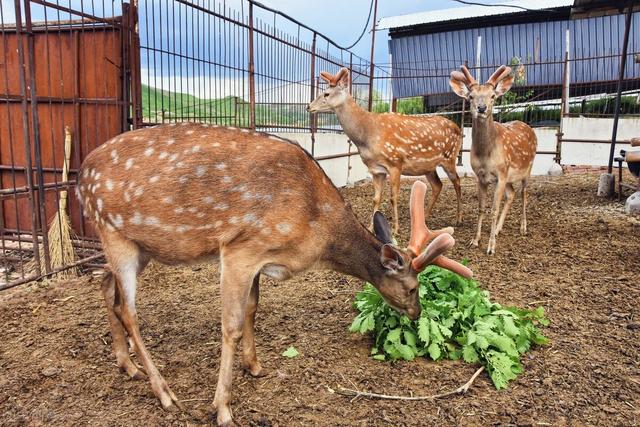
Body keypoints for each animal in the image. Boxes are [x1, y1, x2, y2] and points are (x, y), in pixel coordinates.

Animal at [77, 122, 472, 426]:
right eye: (412, 287)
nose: (417, 313)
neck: (316, 230)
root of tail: (80, 177)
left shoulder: (260, 258)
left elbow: (253, 308)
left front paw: (254, 366)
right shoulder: (239, 248)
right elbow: (231, 325)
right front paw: (222, 408)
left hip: (138, 245)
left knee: (105, 284)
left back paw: (128, 366)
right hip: (113, 232)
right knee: (129, 310)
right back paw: (164, 393)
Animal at [308, 67, 462, 234]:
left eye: (326, 93)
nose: (308, 107)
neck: (367, 137)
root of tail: (458, 129)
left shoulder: (395, 162)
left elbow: (393, 197)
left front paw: (395, 229)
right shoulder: (376, 169)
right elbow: (376, 198)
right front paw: (371, 227)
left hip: (450, 157)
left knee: (457, 181)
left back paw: (458, 219)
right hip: (429, 167)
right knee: (437, 185)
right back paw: (425, 217)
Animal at [448, 65, 536, 256]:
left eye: (493, 96)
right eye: (471, 96)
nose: (482, 108)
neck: (485, 156)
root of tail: (529, 127)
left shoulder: (501, 175)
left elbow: (493, 210)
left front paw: (491, 247)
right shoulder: (481, 176)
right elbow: (481, 208)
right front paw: (475, 240)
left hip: (527, 169)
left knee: (524, 194)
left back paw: (523, 228)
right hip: (508, 177)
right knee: (512, 194)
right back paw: (498, 229)